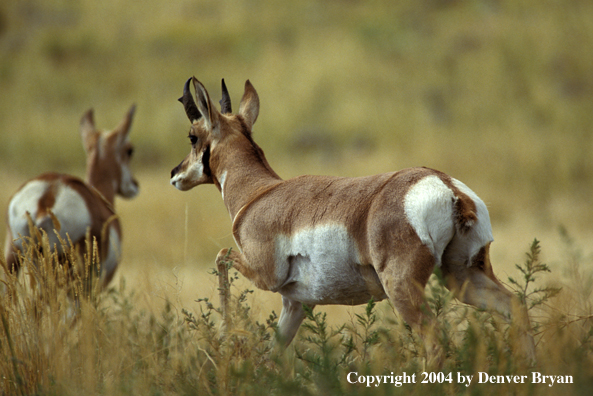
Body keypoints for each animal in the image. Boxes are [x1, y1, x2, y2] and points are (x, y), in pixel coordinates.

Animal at [170, 77, 536, 362]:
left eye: (192, 136)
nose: (175, 174)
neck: (260, 192)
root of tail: (446, 186)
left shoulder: (264, 275)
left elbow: (221, 256)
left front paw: (225, 331)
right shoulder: (295, 304)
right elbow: (273, 354)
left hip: (405, 290)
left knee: (434, 341)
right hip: (464, 278)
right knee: (516, 307)